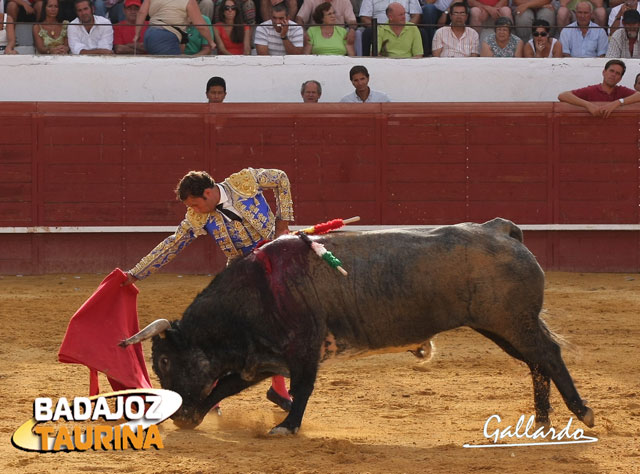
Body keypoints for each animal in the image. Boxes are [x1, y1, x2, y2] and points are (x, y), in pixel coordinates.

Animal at [124, 218, 596, 434]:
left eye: (164, 361)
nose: (175, 414)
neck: (257, 290)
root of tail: (499, 230)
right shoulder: (261, 358)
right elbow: (224, 386)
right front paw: (196, 417)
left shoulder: (303, 350)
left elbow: (302, 389)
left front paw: (286, 427)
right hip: (503, 327)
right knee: (537, 362)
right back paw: (542, 420)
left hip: (511, 321)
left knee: (547, 355)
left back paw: (581, 412)